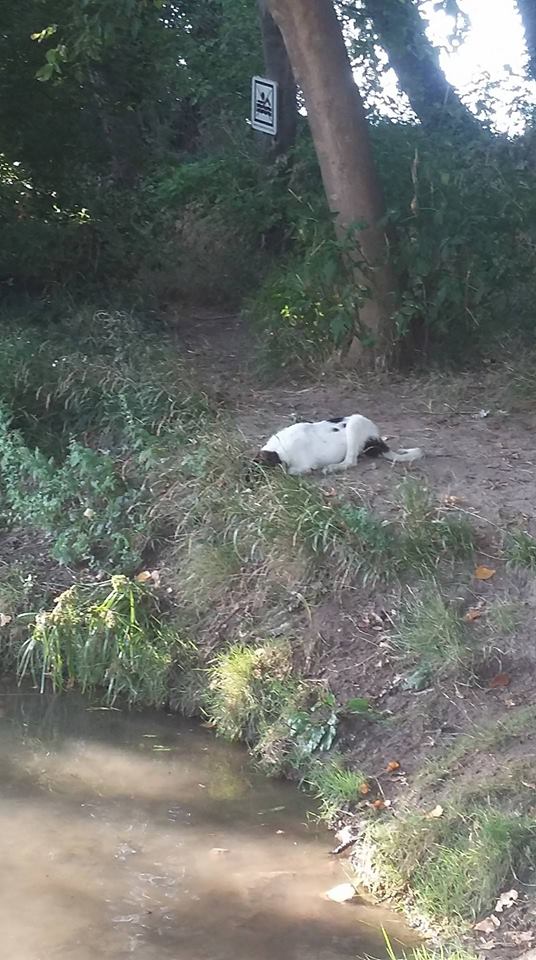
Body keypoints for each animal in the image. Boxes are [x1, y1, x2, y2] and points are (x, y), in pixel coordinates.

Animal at [255, 412, 422, 476]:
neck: (279, 448)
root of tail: (378, 438)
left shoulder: (302, 465)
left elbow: (292, 470)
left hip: (355, 424)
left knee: (350, 462)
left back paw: (333, 467)